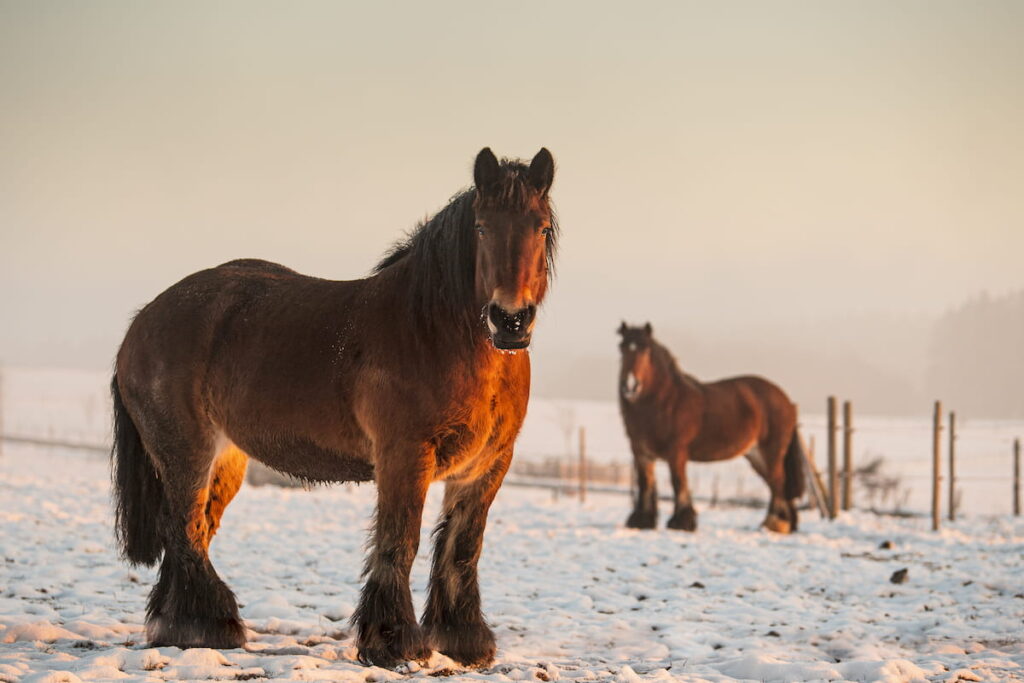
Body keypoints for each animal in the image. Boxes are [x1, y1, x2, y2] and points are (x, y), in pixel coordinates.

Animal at [110, 145, 561, 667]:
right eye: (483, 227)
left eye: (540, 228)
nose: (511, 320)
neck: (434, 331)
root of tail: (142, 321)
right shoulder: (404, 456)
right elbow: (400, 542)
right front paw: (393, 641)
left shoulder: (488, 464)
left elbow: (463, 546)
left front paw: (464, 640)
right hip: (185, 451)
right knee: (182, 526)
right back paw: (210, 624)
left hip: (226, 459)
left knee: (194, 528)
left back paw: (176, 624)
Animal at [614, 323, 806, 536]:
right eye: (621, 347)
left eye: (645, 349)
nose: (630, 386)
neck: (665, 402)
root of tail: (788, 402)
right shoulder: (641, 453)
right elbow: (645, 484)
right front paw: (642, 521)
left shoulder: (676, 452)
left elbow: (678, 482)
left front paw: (681, 522)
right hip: (755, 456)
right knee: (775, 484)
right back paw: (785, 524)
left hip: (771, 452)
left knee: (778, 482)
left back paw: (775, 523)